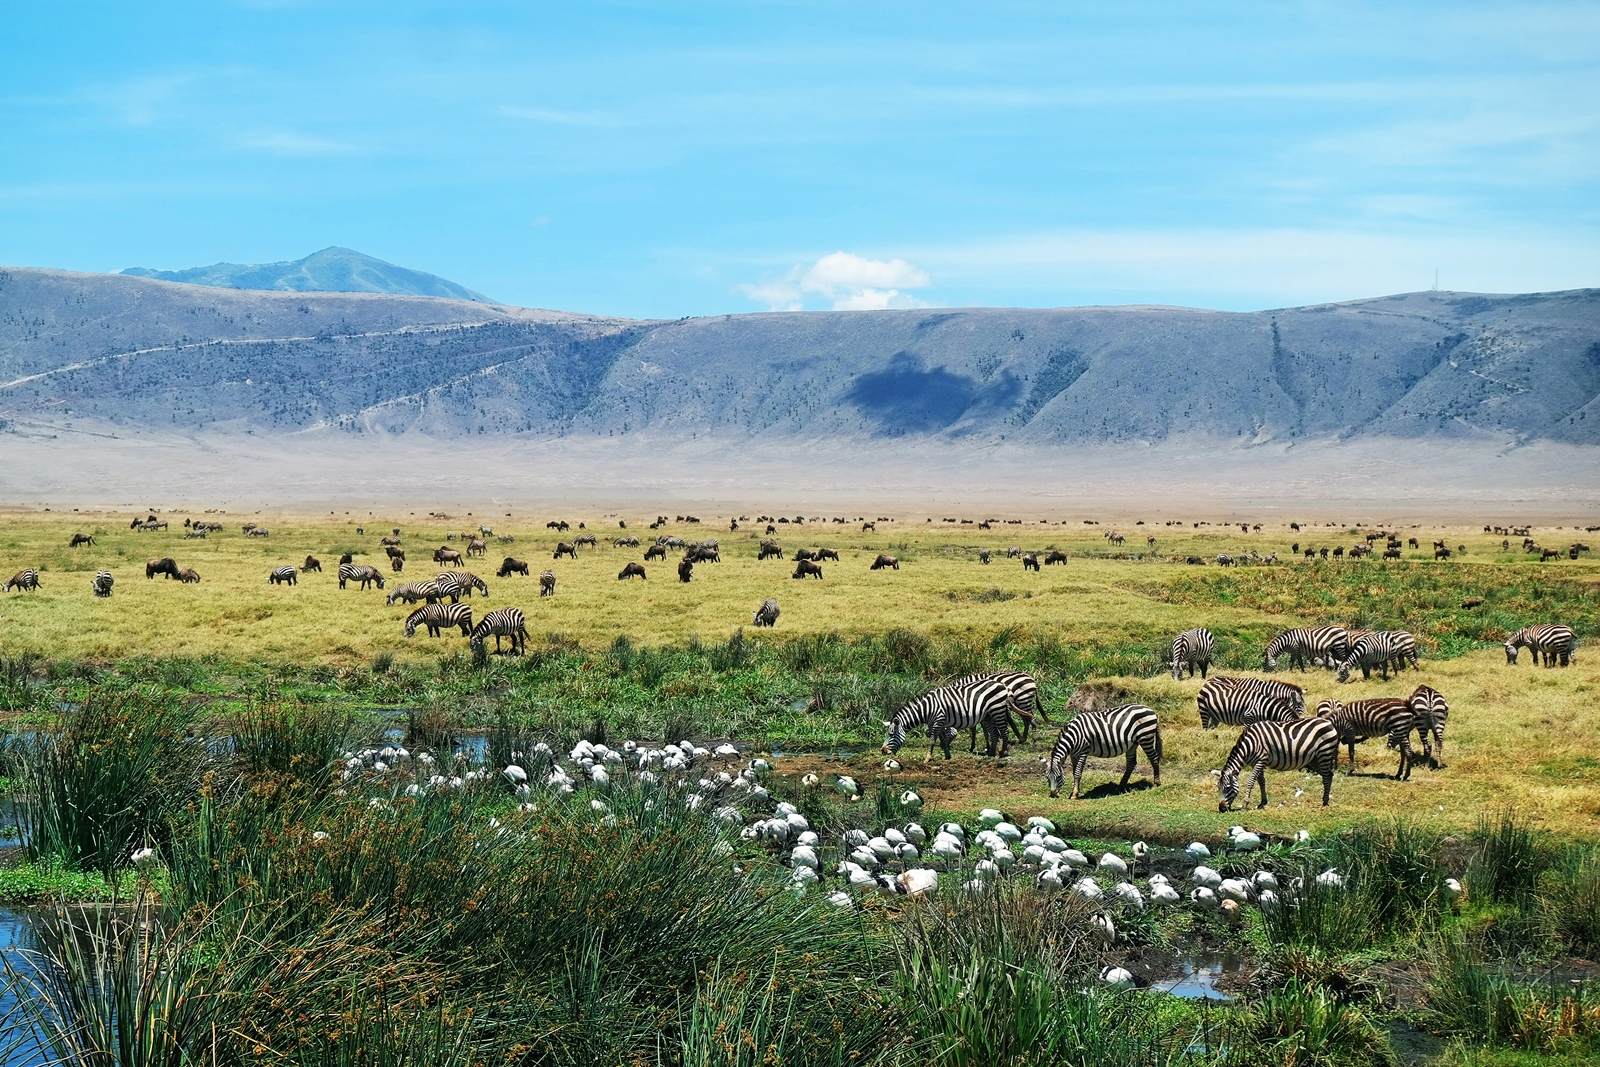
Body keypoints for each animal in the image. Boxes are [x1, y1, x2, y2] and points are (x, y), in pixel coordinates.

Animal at [1036, 703, 1164, 796]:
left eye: (1058, 777)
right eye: (1047, 777)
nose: (1053, 794)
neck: (1074, 736)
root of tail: (1150, 709)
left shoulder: (1083, 752)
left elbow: (1078, 773)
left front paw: (1074, 795)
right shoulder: (1073, 754)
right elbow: (1074, 773)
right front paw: (1075, 791)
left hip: (1145, 737)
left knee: (1154, 758)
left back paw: (1157, 783)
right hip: (1133, 743)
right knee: (1131, 763)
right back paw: (1121, 786)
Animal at [1216, 716, 1344, 809]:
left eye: (1227, 788)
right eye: (1218, 788)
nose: (1221, 809)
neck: (1250, 745)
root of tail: (1328, 722)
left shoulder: (1261, 760)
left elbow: (1251, 781)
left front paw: (1245, 803)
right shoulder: (1256, 762)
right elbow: (1261, 781)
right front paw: (1262, 802)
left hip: (1324, 753)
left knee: (1326, 777)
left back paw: (1325, 803)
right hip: (1315, 759)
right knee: (1329, 775)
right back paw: (1325, 800)